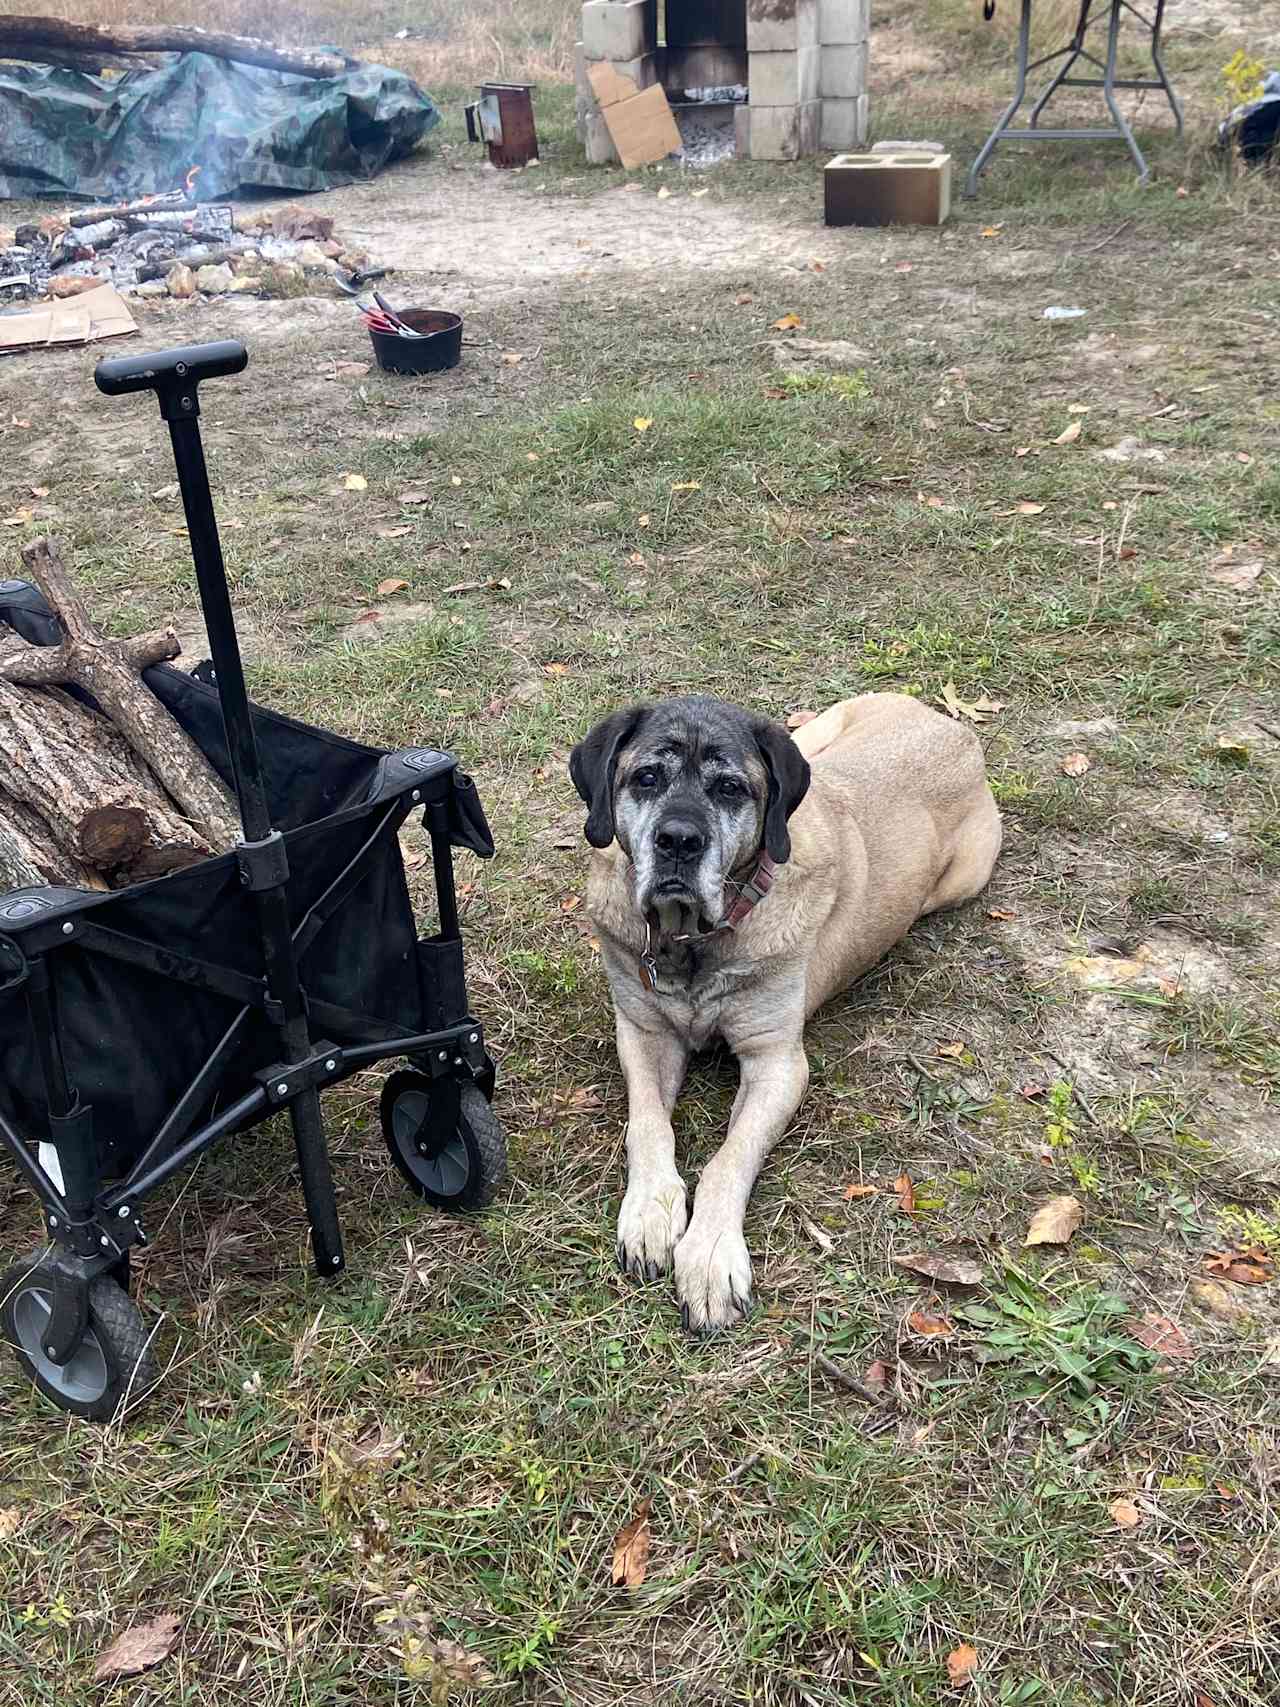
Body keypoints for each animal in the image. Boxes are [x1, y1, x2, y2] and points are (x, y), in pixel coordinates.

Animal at [570, 693, 1003, 1331]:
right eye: (646, 778)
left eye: (730, 788)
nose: (678, 840)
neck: (695, 943)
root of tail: (951, 728)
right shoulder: (644, 1033)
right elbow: (647, 1125)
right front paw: (650, 1213)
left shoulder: (776, 1063)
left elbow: (729, 1159)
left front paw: (710, 1257)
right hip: (816, 737)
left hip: (959, 881)